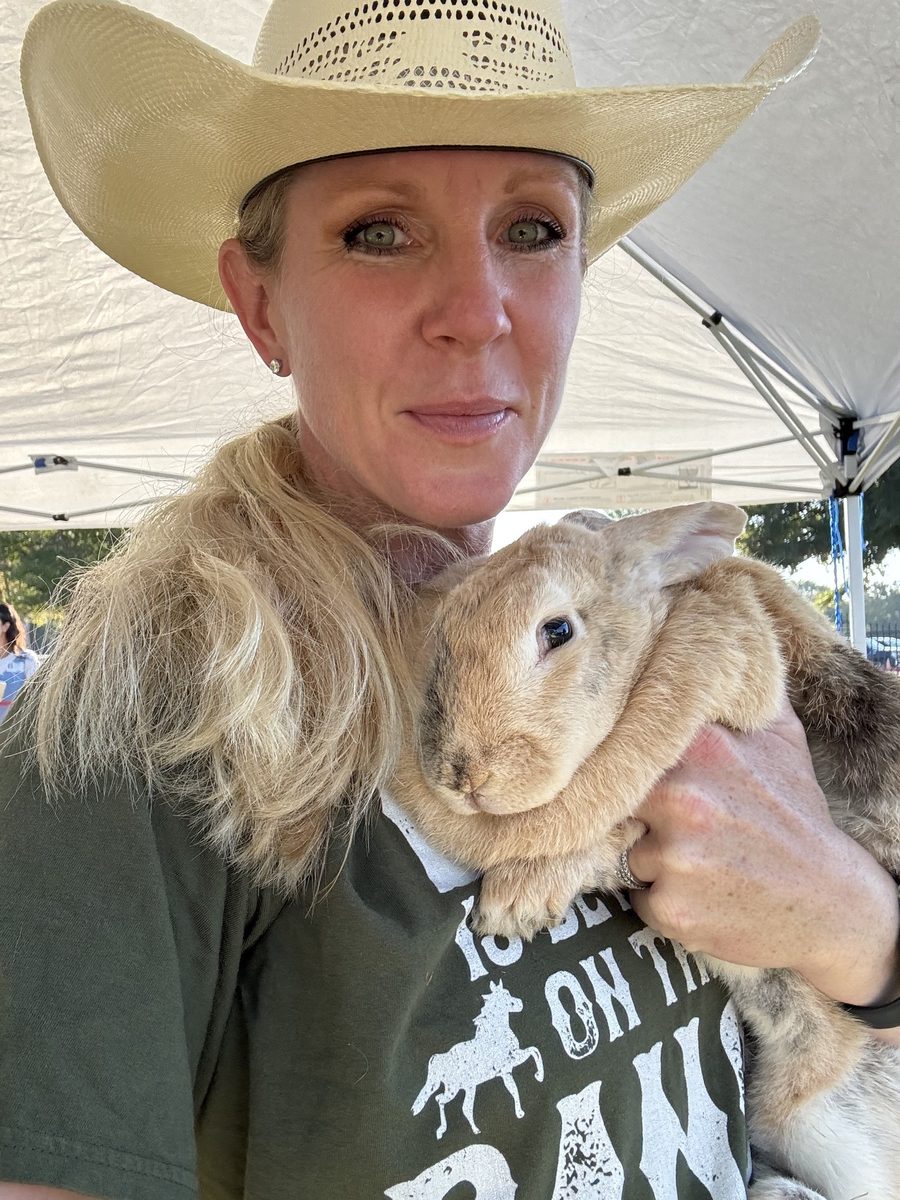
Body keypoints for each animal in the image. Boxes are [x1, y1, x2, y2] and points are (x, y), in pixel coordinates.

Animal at [389, 501, 900, 1200]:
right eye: (440, 634)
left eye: (557, 630)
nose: (460, 775)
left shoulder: (738, 692)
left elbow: (614, 827)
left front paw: (513, 906)